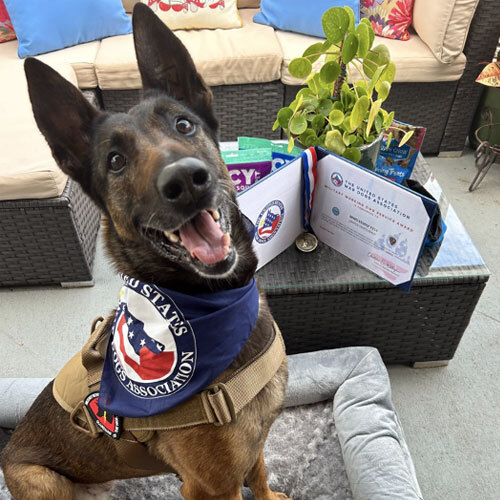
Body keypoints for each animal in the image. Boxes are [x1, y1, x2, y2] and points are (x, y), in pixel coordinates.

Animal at [0, 3, 290, 500]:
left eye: (183, 125)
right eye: (115, 161)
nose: (186, 180)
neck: (214, 302)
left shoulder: (251, 451)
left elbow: (260, 473)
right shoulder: (211, 487)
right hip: (41, 480)